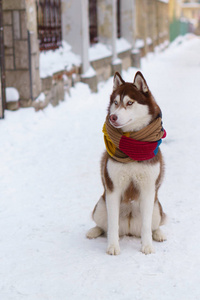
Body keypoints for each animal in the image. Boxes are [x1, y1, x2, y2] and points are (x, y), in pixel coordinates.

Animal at [86, 71, 166, 254]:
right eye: (116, 103)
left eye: (130, 103)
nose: (112, 117)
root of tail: (129, 230)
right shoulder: (113, 189)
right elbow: (112, 224)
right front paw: (113, 246)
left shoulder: (148, 189)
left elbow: (146, 225)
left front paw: (147, 246)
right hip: (100, 205)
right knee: (103, 226)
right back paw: (94, 231)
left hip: (157, 208)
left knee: (154, 224)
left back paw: (158, 233)